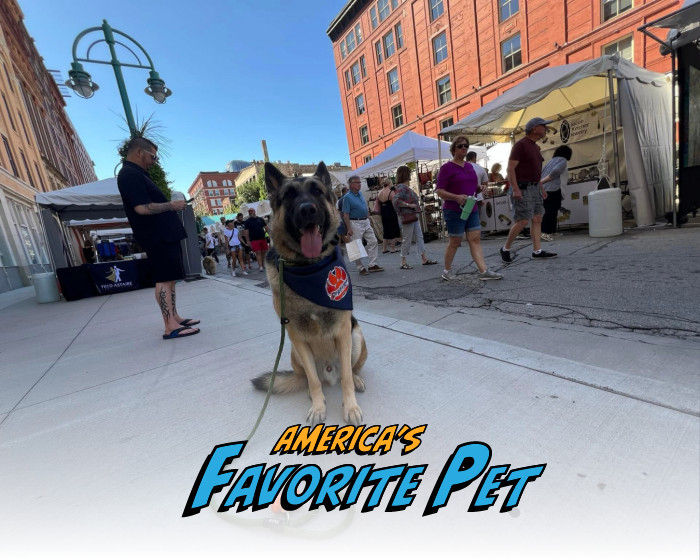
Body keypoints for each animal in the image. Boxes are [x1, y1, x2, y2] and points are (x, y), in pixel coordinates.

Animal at [251, 161, 367, 424]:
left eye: (317, 192)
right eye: (289, 196)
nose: (307, 210)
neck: (308, 267)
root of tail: (330, 374)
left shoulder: (343, 330)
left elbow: (346, 376)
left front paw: (350, 406)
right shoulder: (297, 336)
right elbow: (313, 381)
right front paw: (318, 406)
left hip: (356, 336)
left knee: (350, 370)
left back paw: (355, 380)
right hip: (294, 350)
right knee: (310, 378)